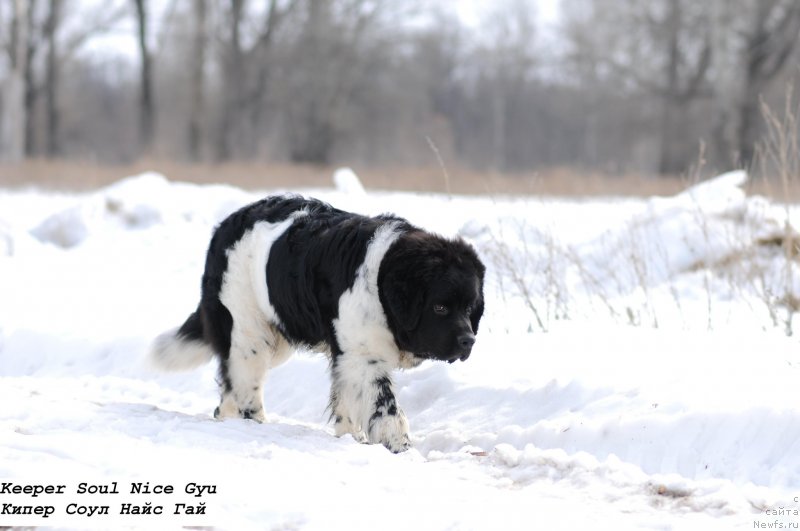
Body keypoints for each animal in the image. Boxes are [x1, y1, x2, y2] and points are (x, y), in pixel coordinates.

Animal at [152, 195, 488, 454]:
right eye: (440, 307)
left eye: (470, 308)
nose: (468, 341)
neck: (382, 280)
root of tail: (224, 227)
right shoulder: (364, 357)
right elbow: (386, 406)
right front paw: (399, 447)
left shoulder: (347, 355)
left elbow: (347, 402)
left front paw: (352, 438)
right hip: (249, 328)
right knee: (245, 378)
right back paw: (253, 423)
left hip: (276, 337)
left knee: (231, 382)